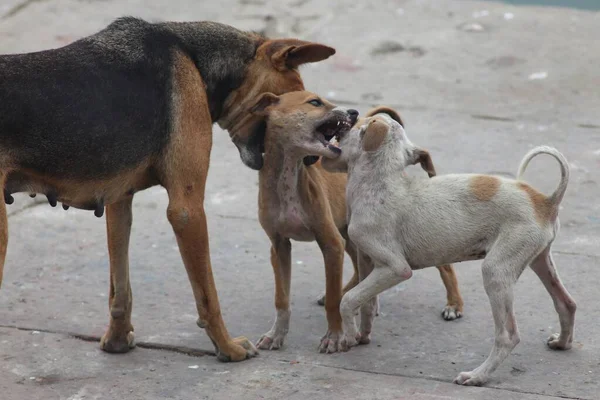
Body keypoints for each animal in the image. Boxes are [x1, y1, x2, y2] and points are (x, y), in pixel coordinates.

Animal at [0, 17, 336, 362]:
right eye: (303, 100)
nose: (312, 159)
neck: (193, 56)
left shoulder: (118, 202)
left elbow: (120, 288)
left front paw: (117, 340)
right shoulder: (187, 210)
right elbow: (208, 297)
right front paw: (227, 347)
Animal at [248, 91, 464, 354]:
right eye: (315, 102)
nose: (353, 113)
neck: (288, 179)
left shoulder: (331, 243)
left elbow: (333, 301)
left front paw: (333, 336)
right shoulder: (279, 246)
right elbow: (281, 298)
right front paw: (276, 335)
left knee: (445, 266)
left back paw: (454, 303)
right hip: (350, 233)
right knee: (360, 267)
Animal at [324, 111, 576, 386]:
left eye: (359, 122)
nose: (352, 113)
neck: (380, 183)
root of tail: (547, 202)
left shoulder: (395, 268)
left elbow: (348, 299)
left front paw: (347, 337)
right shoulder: (367, 261)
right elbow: (366, 303)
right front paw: (362, 336)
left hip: (496, 271)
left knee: (508, 335)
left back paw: (477, 376)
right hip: (539, 260)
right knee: (567, 304)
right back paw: (562, 343)